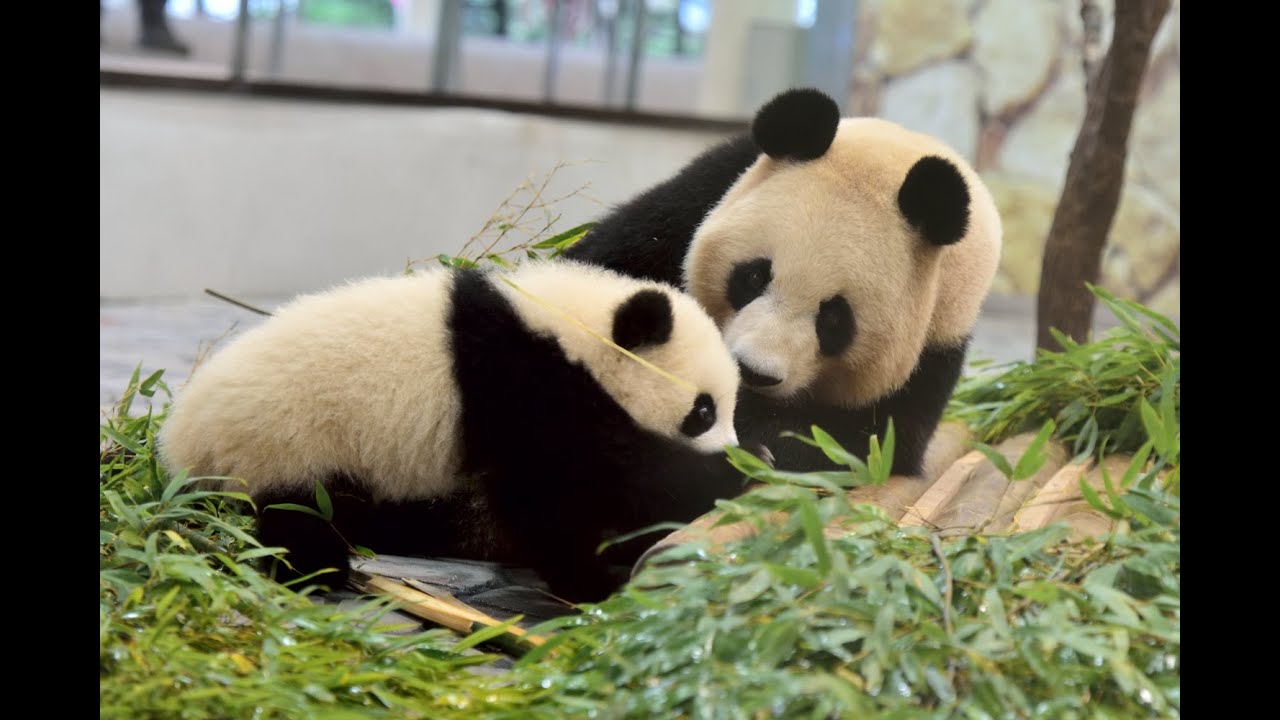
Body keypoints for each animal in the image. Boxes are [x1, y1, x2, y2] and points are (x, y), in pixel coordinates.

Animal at [158, 260, 748, 602]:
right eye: (703, 411)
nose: (736, 450)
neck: (568, 329)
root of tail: (182, 441)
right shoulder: (521, 386)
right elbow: (556, 495)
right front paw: (596, 578)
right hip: (289, 441)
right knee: (300, 511)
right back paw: (317, 570)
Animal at [564, 87, 1002, 477]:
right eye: (754, 276)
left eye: (834, 318)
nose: (752, 372)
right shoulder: (696, 200)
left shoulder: (937, 343)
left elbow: (851, 445)